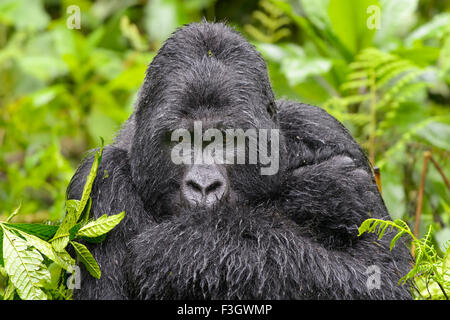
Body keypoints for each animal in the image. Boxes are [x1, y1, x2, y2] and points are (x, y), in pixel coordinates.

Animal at [67, 22, 412, 300]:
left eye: (227, 140)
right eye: (181, 140)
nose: (204, 185)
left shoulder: (323, 129)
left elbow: (384, 276)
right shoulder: (100, 181)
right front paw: (317, 192)